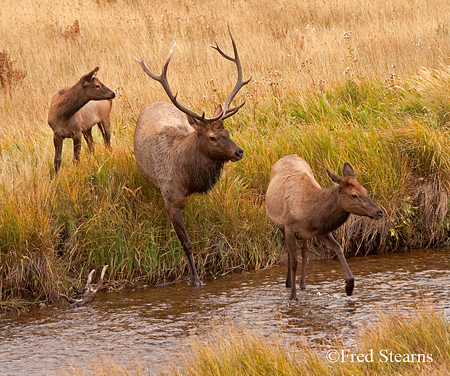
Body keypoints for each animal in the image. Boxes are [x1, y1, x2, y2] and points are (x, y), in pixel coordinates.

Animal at [135, 28, 251, 284]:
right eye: (212, 137)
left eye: (228, 131)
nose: (238, 151)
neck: (188, 177)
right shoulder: (171, 200)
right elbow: (187, 244)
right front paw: (196, 280)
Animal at [268, 155, 384, 300]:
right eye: (354, 195)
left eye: (365, 191)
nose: (379, 212)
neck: (309, 213)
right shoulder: (289, 228)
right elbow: (294, 261)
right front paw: (293, 296)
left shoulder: (320, 230)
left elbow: (338, 248)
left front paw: (349, 286)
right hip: (281, 226)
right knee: (291, 254)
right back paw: (289, 283)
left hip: (304, 235)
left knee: (305, 252)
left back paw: (302, 284)